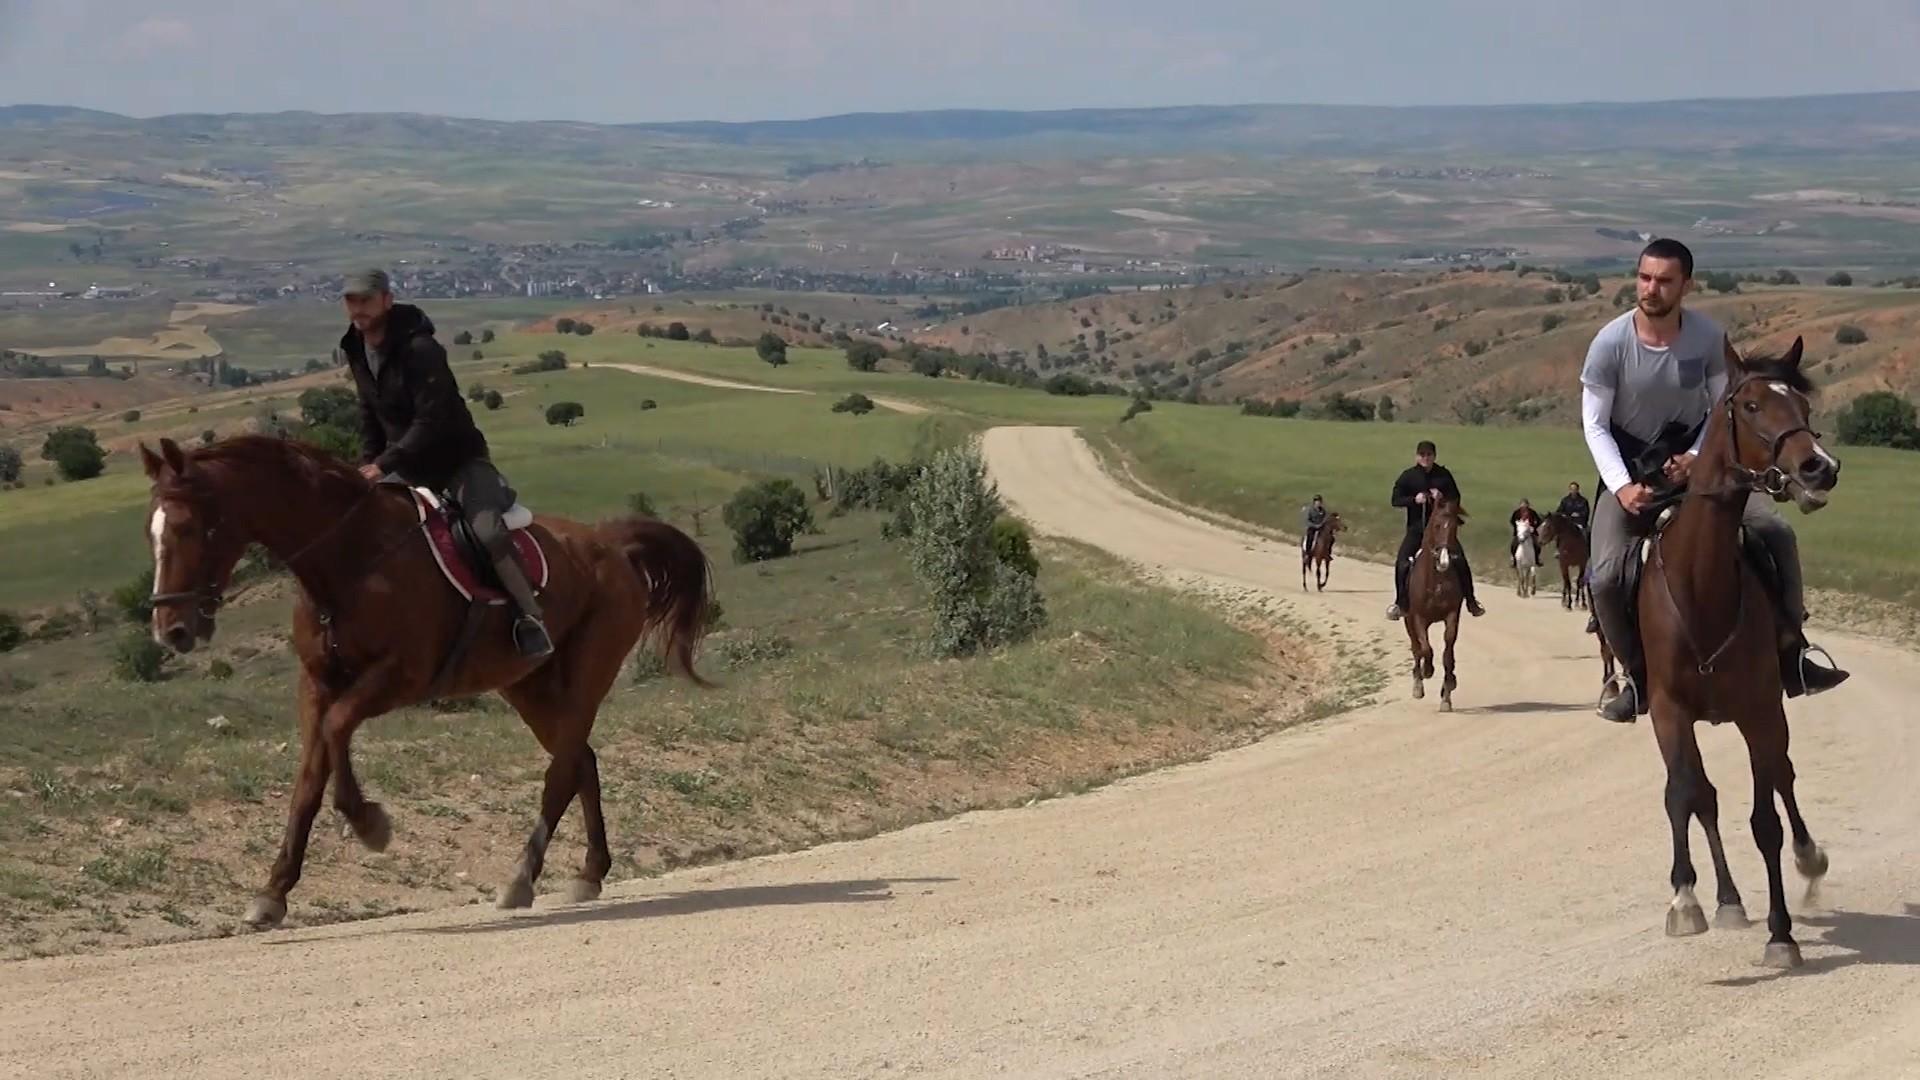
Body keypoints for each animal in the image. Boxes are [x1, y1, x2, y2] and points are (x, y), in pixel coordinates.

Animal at [137, 430, 714, 926]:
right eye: (153, 531)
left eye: (191, 528)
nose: (171, 630)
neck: (349, 560)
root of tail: (612, 546)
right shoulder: (316, 685)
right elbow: (309, 779)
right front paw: (273, 893)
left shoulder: (400, 676)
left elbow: (337, 731)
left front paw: (370, 825)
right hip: (529, 687)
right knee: (581, 764)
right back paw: (589, 873)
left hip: (584, 677)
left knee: (562, 774)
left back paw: (521, 879)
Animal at [1397, 495, 1466, 707]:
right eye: (1436, 525)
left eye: (1455, 526)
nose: (1444, 560)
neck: (1436, 580)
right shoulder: (1419, 618)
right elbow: (1426, 649)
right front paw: (1427, 671)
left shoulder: (1452, 615)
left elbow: (1448, 653)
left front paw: (1448, 691)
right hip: (1408, 620)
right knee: (1416, 648)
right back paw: (1418, 684)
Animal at [1635, 338, 1843, 968]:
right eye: (1749, 406)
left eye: (1801, 402)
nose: (1818, 467)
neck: (1700, 587)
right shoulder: (1668, 710)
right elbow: (1685, 794)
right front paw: (1685, 901)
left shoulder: (1759, 710)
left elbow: (1766, 820)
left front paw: (1782, 935)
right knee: (1705, 797)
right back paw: (1725, 899)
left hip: (1771, 713)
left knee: (1783, 777)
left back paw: (1808, 858)